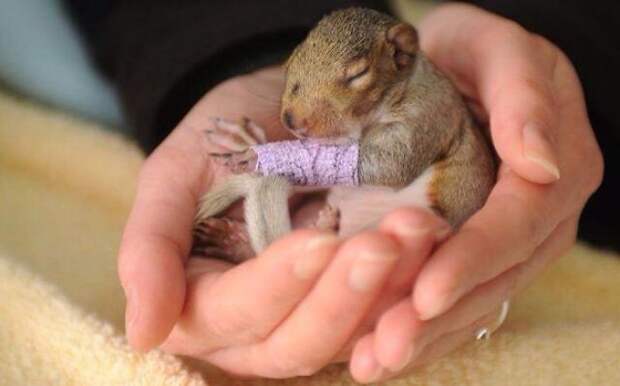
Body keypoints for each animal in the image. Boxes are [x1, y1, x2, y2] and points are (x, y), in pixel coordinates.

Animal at [191, 8, 496, 262]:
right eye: (290, 59)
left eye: (358, 74)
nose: (291, 120)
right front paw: (253, 147)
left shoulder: (427, 117)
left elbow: (393, 164)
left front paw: (255, 156)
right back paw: (234, 241)